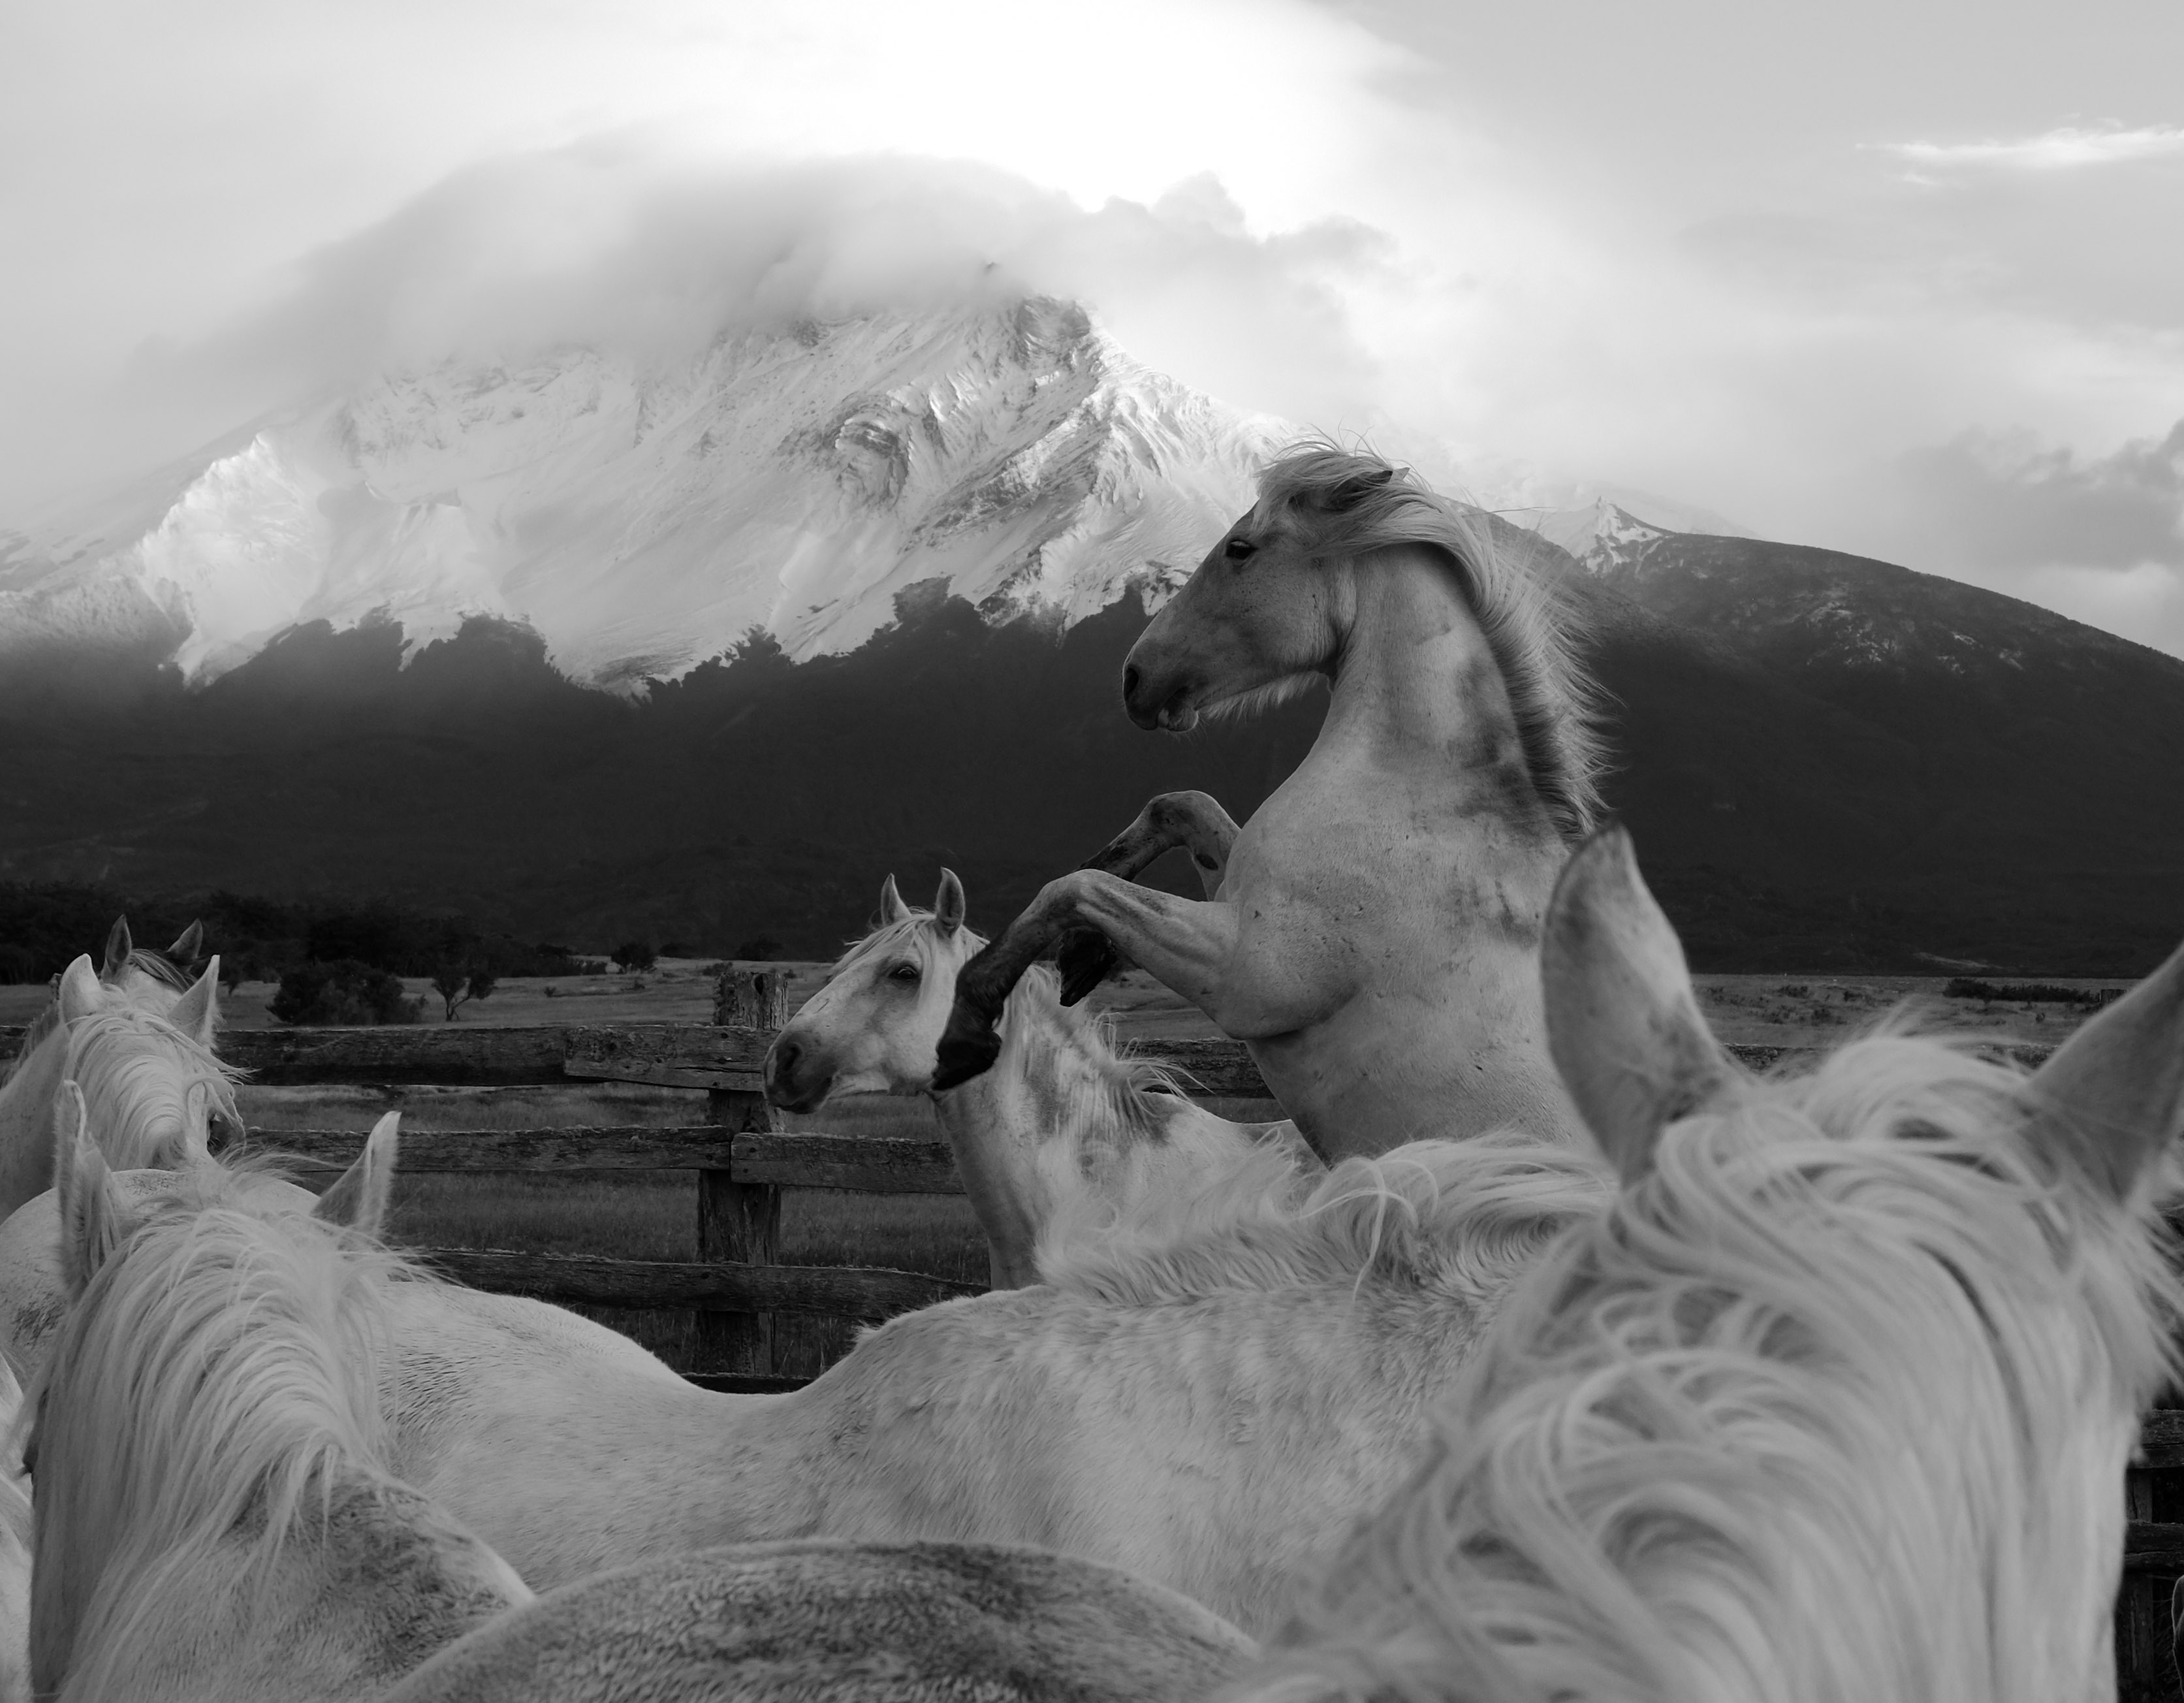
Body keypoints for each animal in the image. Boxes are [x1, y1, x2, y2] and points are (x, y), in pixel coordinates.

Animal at [935, 444, 1605, 1165]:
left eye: (1240, 548)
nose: (1136, 679)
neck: (1414, 799)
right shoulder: (1236, 895)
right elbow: (1176, 808)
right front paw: (1087, 955)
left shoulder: (1248, 973)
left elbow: (1073, 888)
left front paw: (965, 1030)